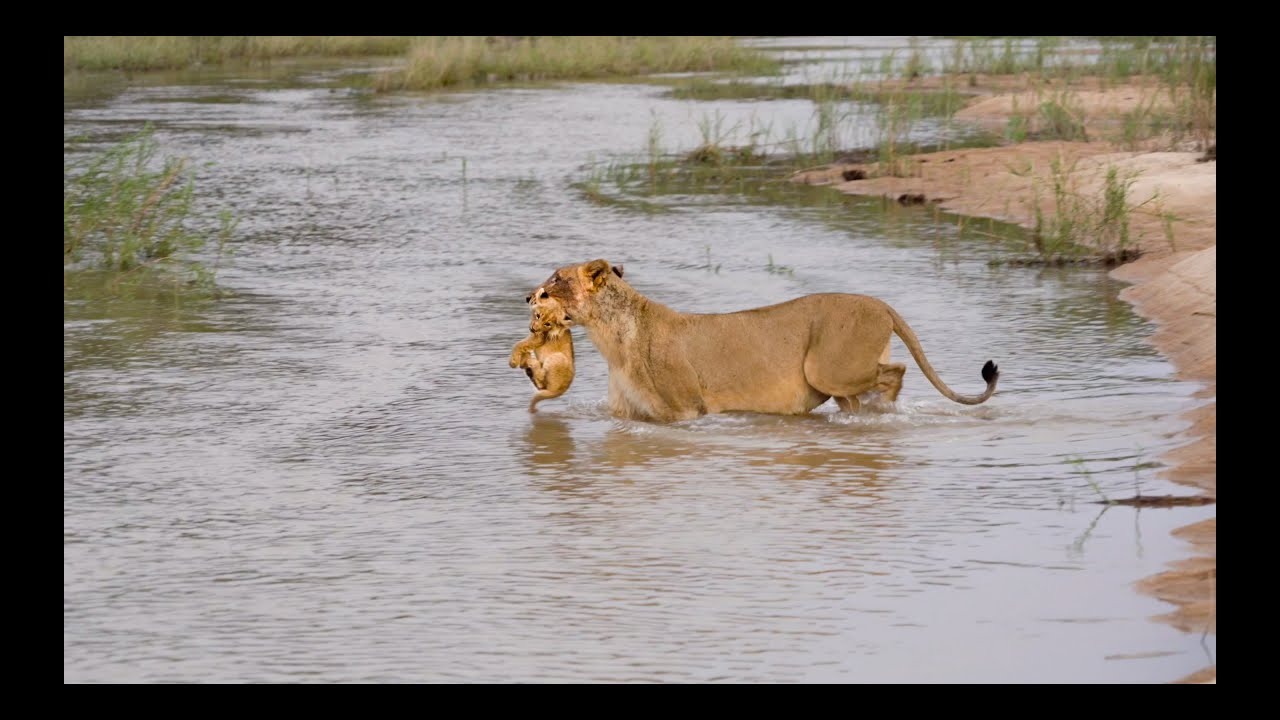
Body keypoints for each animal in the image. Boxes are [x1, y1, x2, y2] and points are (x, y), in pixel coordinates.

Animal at [528, 259, 999, 422]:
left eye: (556, 278)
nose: (529, 297)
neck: (611, 338)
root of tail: (881, 303)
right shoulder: (625, 413)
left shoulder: (687, 411)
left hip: (826, 368)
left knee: (896, 371)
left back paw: (883, 409)